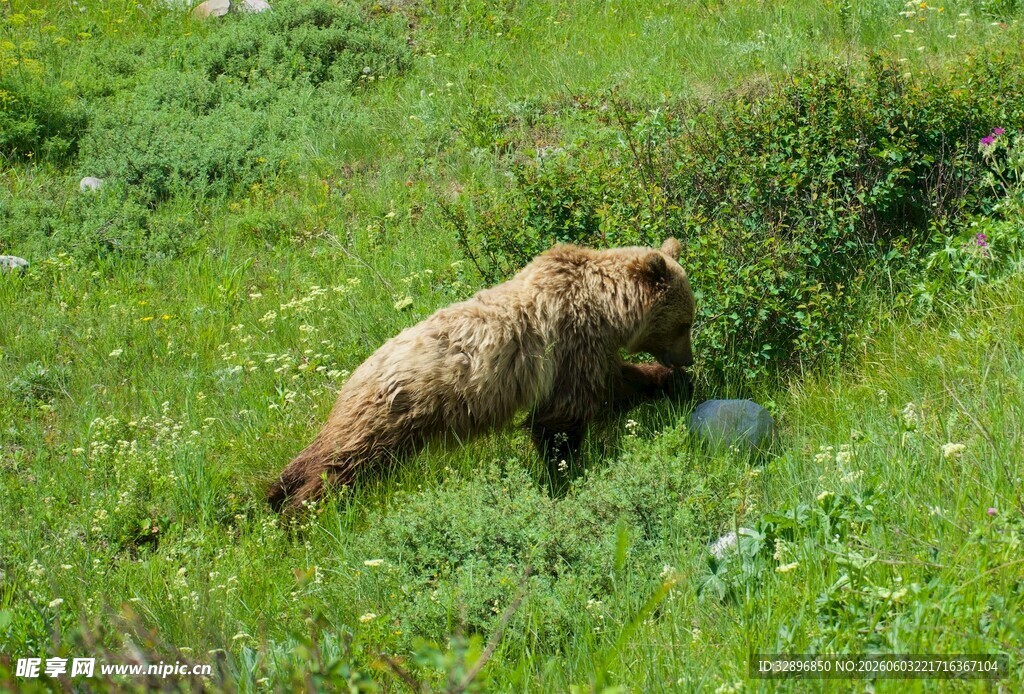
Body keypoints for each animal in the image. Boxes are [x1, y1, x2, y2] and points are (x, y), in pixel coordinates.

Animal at [268, 238, 695, 512]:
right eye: (685, 324)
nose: (687, 360)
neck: (606, 308)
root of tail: (356, 371)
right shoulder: (571, 345)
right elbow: (565, 414)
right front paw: (563, 468)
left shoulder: (586, 351)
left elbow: (614, 383)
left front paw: (671, 383)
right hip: (389, 415)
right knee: (343, 464)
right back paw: (301, 512)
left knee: (320, 452)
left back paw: (276, 494)